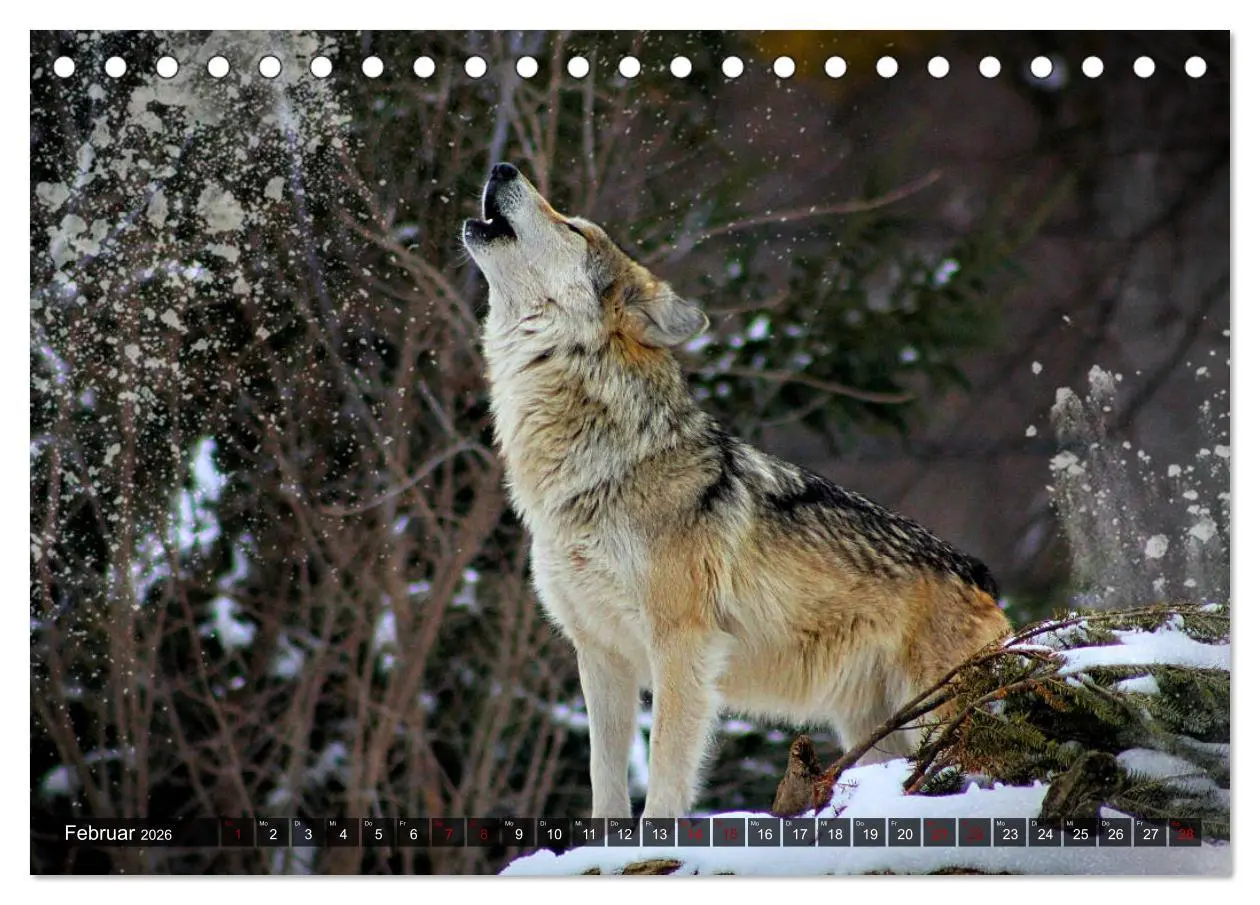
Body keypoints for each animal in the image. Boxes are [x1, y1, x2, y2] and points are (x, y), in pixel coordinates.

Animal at [462, 163, 1011, 819]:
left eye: (573, 226)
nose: (502, 167)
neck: (597, 467)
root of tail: (982, 577)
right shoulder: (600, 654)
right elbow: (605, 782)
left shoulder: (683, 647)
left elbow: (665, 776)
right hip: (873, 733)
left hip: (934, 721)